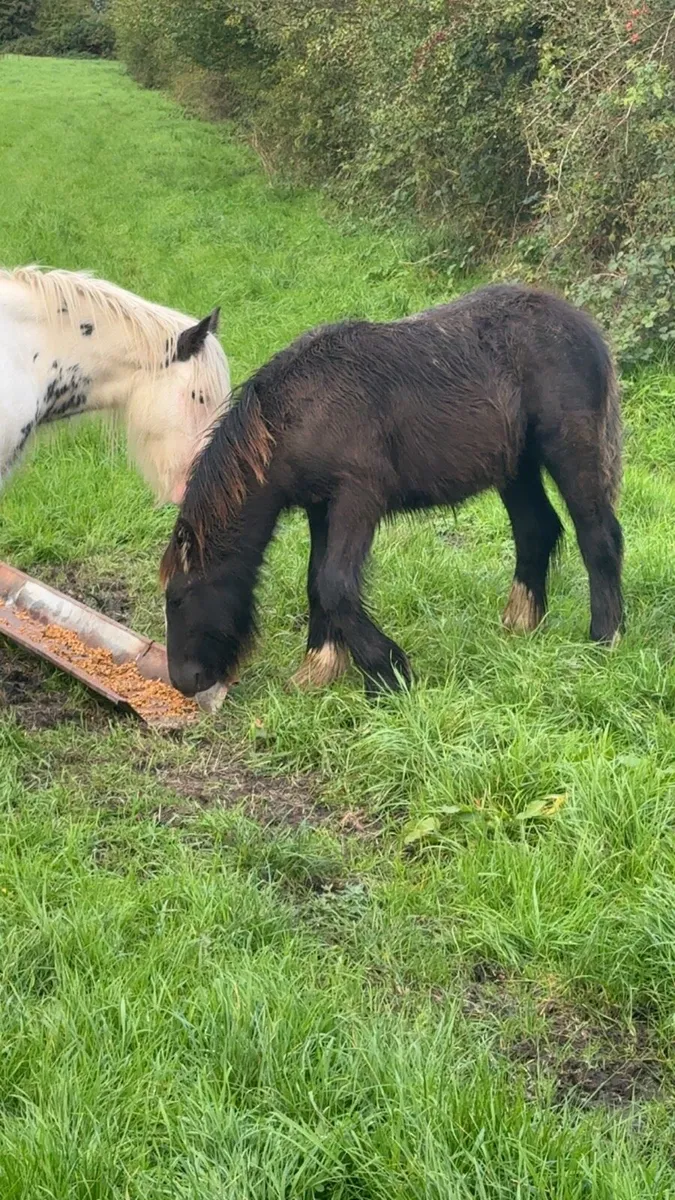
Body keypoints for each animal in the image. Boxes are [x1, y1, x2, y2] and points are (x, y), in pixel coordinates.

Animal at [160, 283, 624, 698]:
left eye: (179, 598)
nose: (184, 680)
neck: (297, 412)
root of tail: (584, 326)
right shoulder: (320, 507)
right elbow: (316, 582)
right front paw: (320, 666)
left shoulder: (357, 498)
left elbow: (335, 584)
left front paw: (388, 673)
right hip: (517, 466)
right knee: (536, 530)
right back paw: (522, 622)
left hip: (569, 450)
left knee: (598, 537)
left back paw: (606, 635)